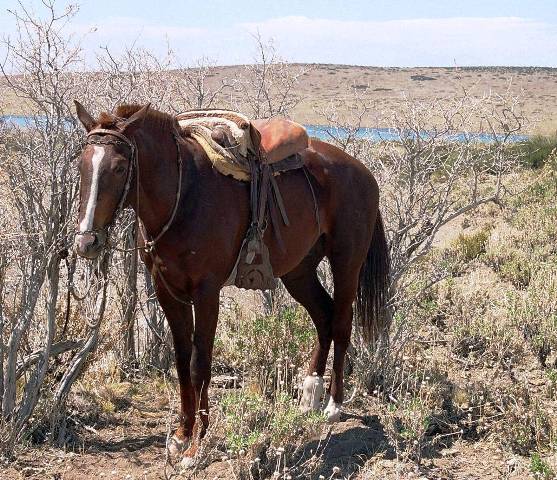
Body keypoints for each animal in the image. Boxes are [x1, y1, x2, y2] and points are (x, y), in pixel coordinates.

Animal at [71, 100, 388, 464]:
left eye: (121, 167)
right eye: (82, 164)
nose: (87, 242)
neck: (185, 194)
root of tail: (363, 173)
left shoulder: (207, 293)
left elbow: (200, 364)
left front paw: (196, 445)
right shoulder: (168, 291)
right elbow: (182, 362)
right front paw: (181, 434)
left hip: (347, 261)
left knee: (341, 322)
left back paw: (333, 405)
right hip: (299, 272)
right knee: (323, 317)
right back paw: (310, 393)